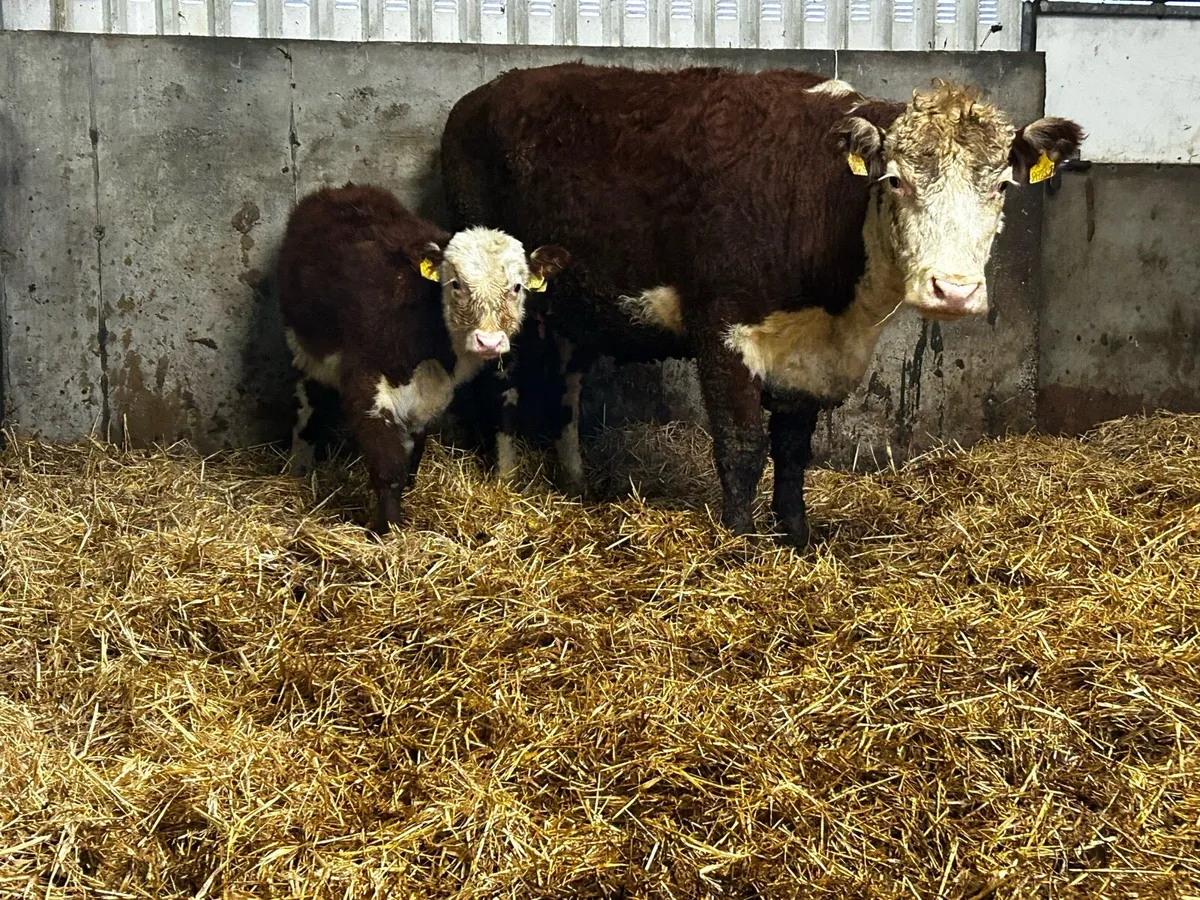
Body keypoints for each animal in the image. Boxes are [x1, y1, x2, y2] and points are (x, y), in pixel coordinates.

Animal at [277, 183, 568, 533]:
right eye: (455, 284)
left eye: (517, 287)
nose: (489, 341)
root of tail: (339, 191)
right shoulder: (366, 385)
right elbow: (388, 467)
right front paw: (388, 529)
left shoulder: (430, 395)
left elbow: (413, 453)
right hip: (303, 349)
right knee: (305, 404)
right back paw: (299, 464)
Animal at [440, 64, 1084, 548]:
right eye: (896, 180)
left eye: (1001, 186)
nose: (953, 290)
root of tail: (484, 93)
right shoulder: (722, 327)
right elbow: (742, 446)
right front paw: (740, 542)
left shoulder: (812, 352)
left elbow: (794, 453)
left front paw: (796, 537)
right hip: (500, 293)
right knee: (504, 382)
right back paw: (506, 478)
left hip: (571, 302)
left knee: (567, 386)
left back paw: (575, 480)